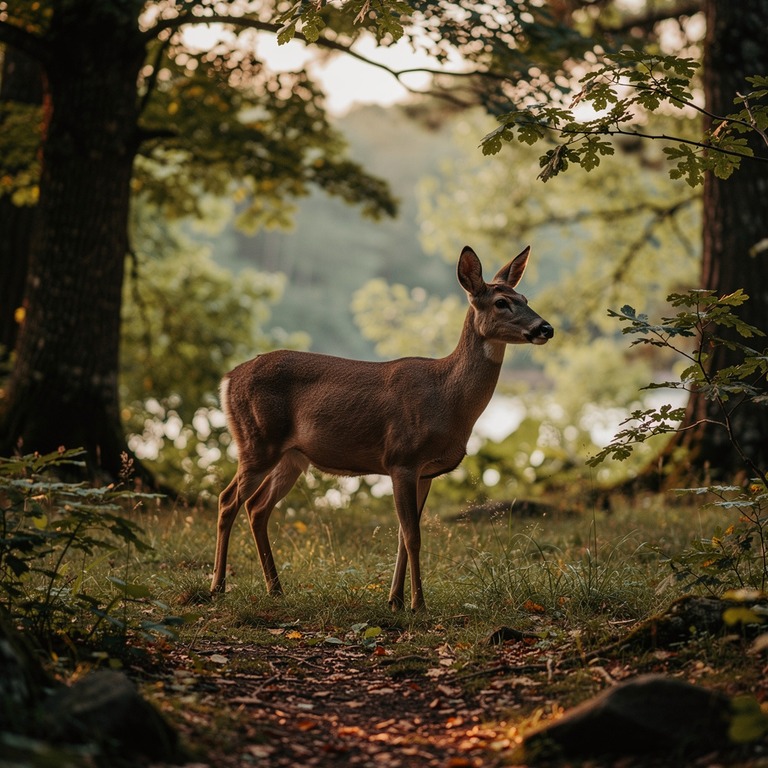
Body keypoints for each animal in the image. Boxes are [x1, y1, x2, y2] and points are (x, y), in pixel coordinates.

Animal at [211, 245, 554, 611]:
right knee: (227, 500)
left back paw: (275, 588)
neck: (446, 399)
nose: (546, 328)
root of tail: (228, 378)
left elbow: (405, 534)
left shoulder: (426, 471)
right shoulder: (401, 459)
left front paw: (395, 600)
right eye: (501, 302)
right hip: (257, 441)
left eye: (525, 296)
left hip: (291, 456)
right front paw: (418, 604)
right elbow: (413, 536)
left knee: (257, 507)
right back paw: (218, 586)